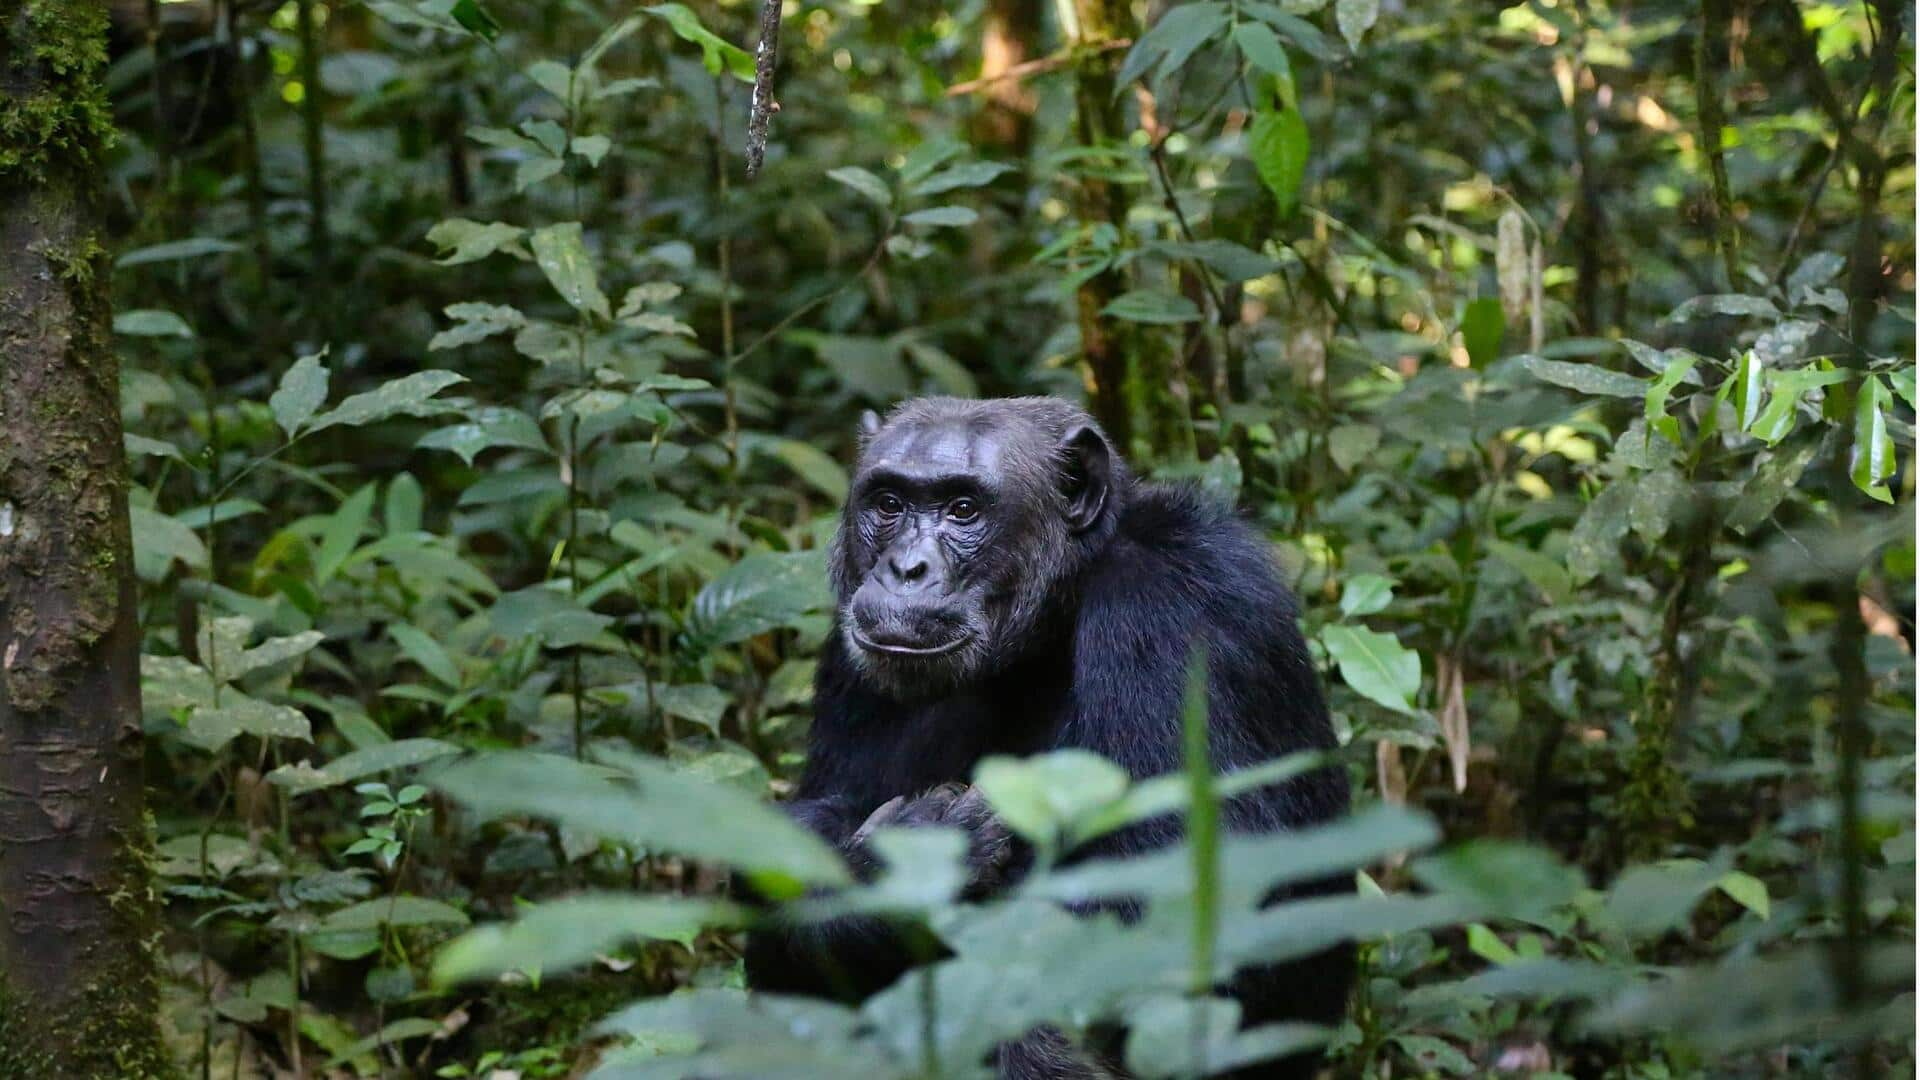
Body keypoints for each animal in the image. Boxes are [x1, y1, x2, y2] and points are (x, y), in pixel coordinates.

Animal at [744, 397, 1351, 1076]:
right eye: (889, 503)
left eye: (963, 508)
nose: (905, 568)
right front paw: (889, 868)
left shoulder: (1179, 609)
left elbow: (1186, 900)